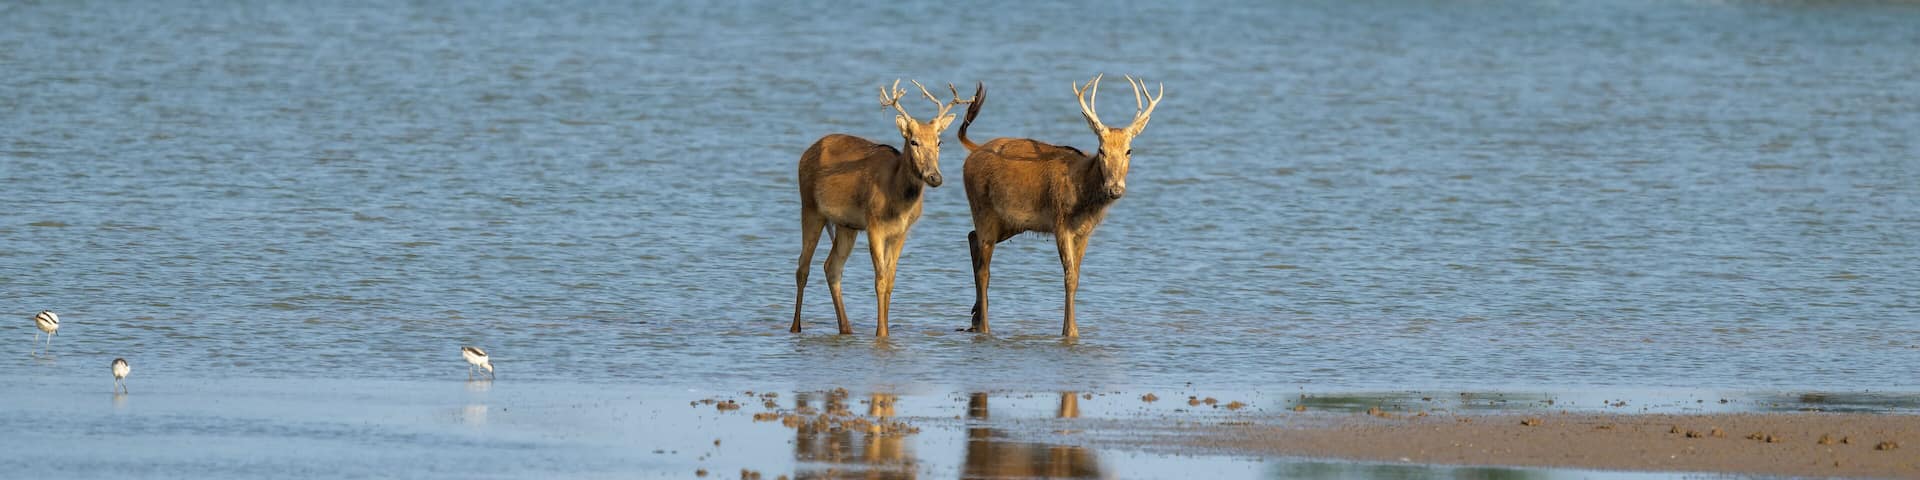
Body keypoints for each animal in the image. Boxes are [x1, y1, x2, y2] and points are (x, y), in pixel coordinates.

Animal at [791, 80, 975, 336]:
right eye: (913, 141)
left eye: (939, 141)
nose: (934, 177)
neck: (898, 201)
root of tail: (805, 153)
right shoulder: (874, 224)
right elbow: (879, 279)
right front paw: (881, 333)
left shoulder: (901, 231)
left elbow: (890, 280)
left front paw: (886, 330)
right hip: (810, 207)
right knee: (803, 266)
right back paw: (796, 327)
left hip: (845, 225)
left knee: (831, 267)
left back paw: (846, 328)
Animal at [956, 74, 1163, 337]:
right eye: (1102, 150)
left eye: (1129, 150)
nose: (1115, 188)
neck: (1084, 198)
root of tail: (973, 150)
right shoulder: (1060, 223)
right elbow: (1069, 276)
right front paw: (1070, 331)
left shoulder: (1085, 231)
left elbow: (1077, 276)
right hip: (983, 209)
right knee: (985, 268)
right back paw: (984, 326)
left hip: (1010, 223)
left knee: (971, 237)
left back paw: (974, 318)